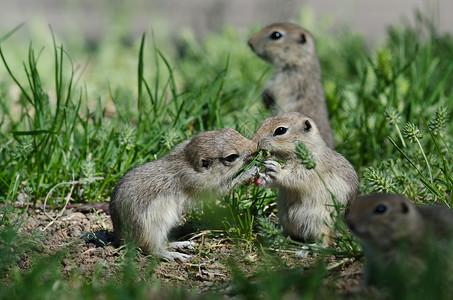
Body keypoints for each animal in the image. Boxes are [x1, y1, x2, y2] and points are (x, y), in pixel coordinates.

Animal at [109, 127, 258, 262]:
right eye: (231, 157)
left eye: (233, 131)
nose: (255, 146)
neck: (189, 161)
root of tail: (120, 239)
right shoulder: (203, 185)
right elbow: (226, 188)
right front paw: (251, 171)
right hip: (153, 230)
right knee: (151, 249)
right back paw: (175, 255)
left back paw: (180, 244)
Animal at [251, 112, 356, 253]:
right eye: (264, 121)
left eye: (280, 130)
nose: (253, 141)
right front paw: (259, 177)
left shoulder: (311, 168)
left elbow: (296, 177)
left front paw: (276, 169)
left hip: (321, 223)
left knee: (325, 243)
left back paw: (307, 249)